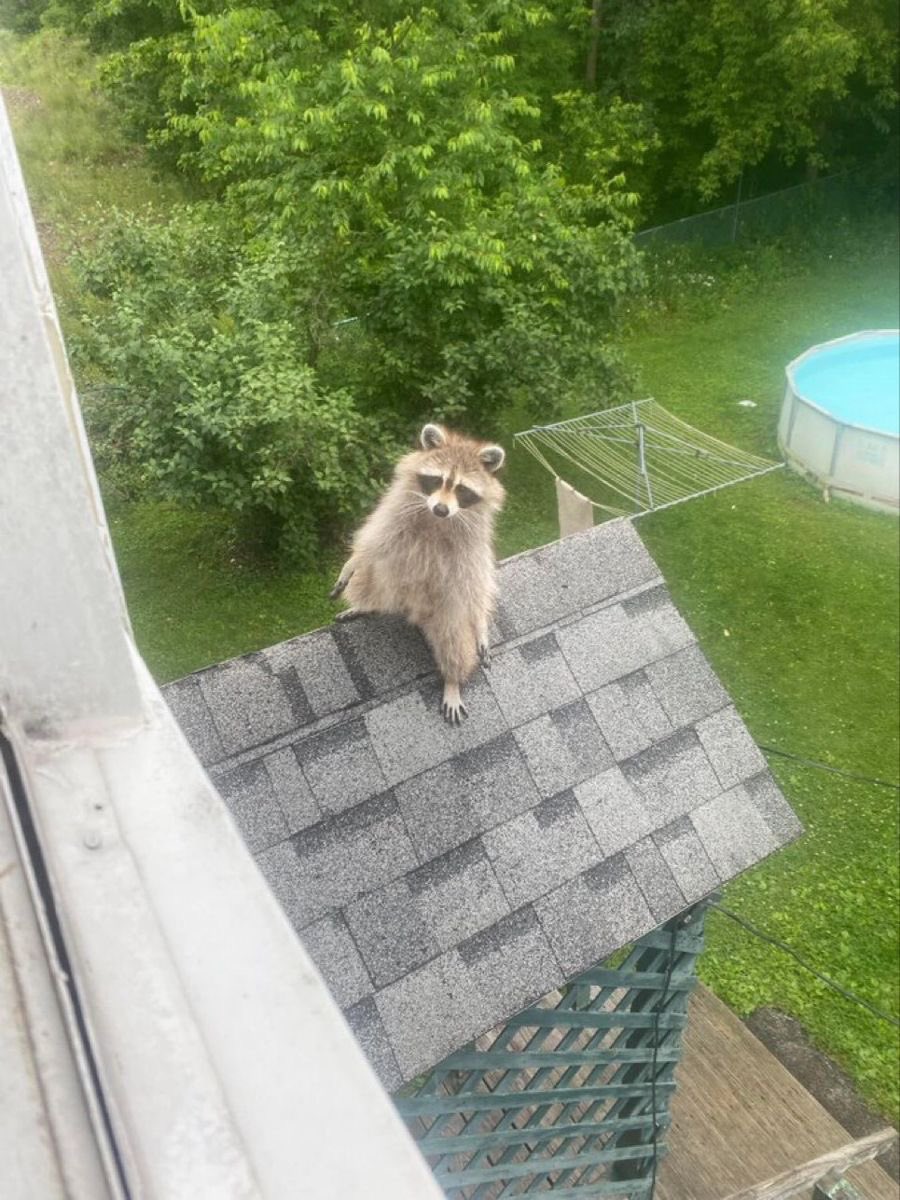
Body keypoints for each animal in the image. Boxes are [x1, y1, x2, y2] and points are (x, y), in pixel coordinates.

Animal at [330, 423, 506, 723]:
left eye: (461, 488)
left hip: (446, 614)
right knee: (369, 576)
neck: (436, 519)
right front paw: (352, 561)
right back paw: (367, 605)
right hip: (385, 582)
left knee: (454, 640)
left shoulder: (472, 543)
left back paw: (452, 680)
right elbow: (373, 542)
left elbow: (475, 583)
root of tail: (413, 612)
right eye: (437, 480)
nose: (441, 509)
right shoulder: (394, 514)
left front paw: (481, 625)